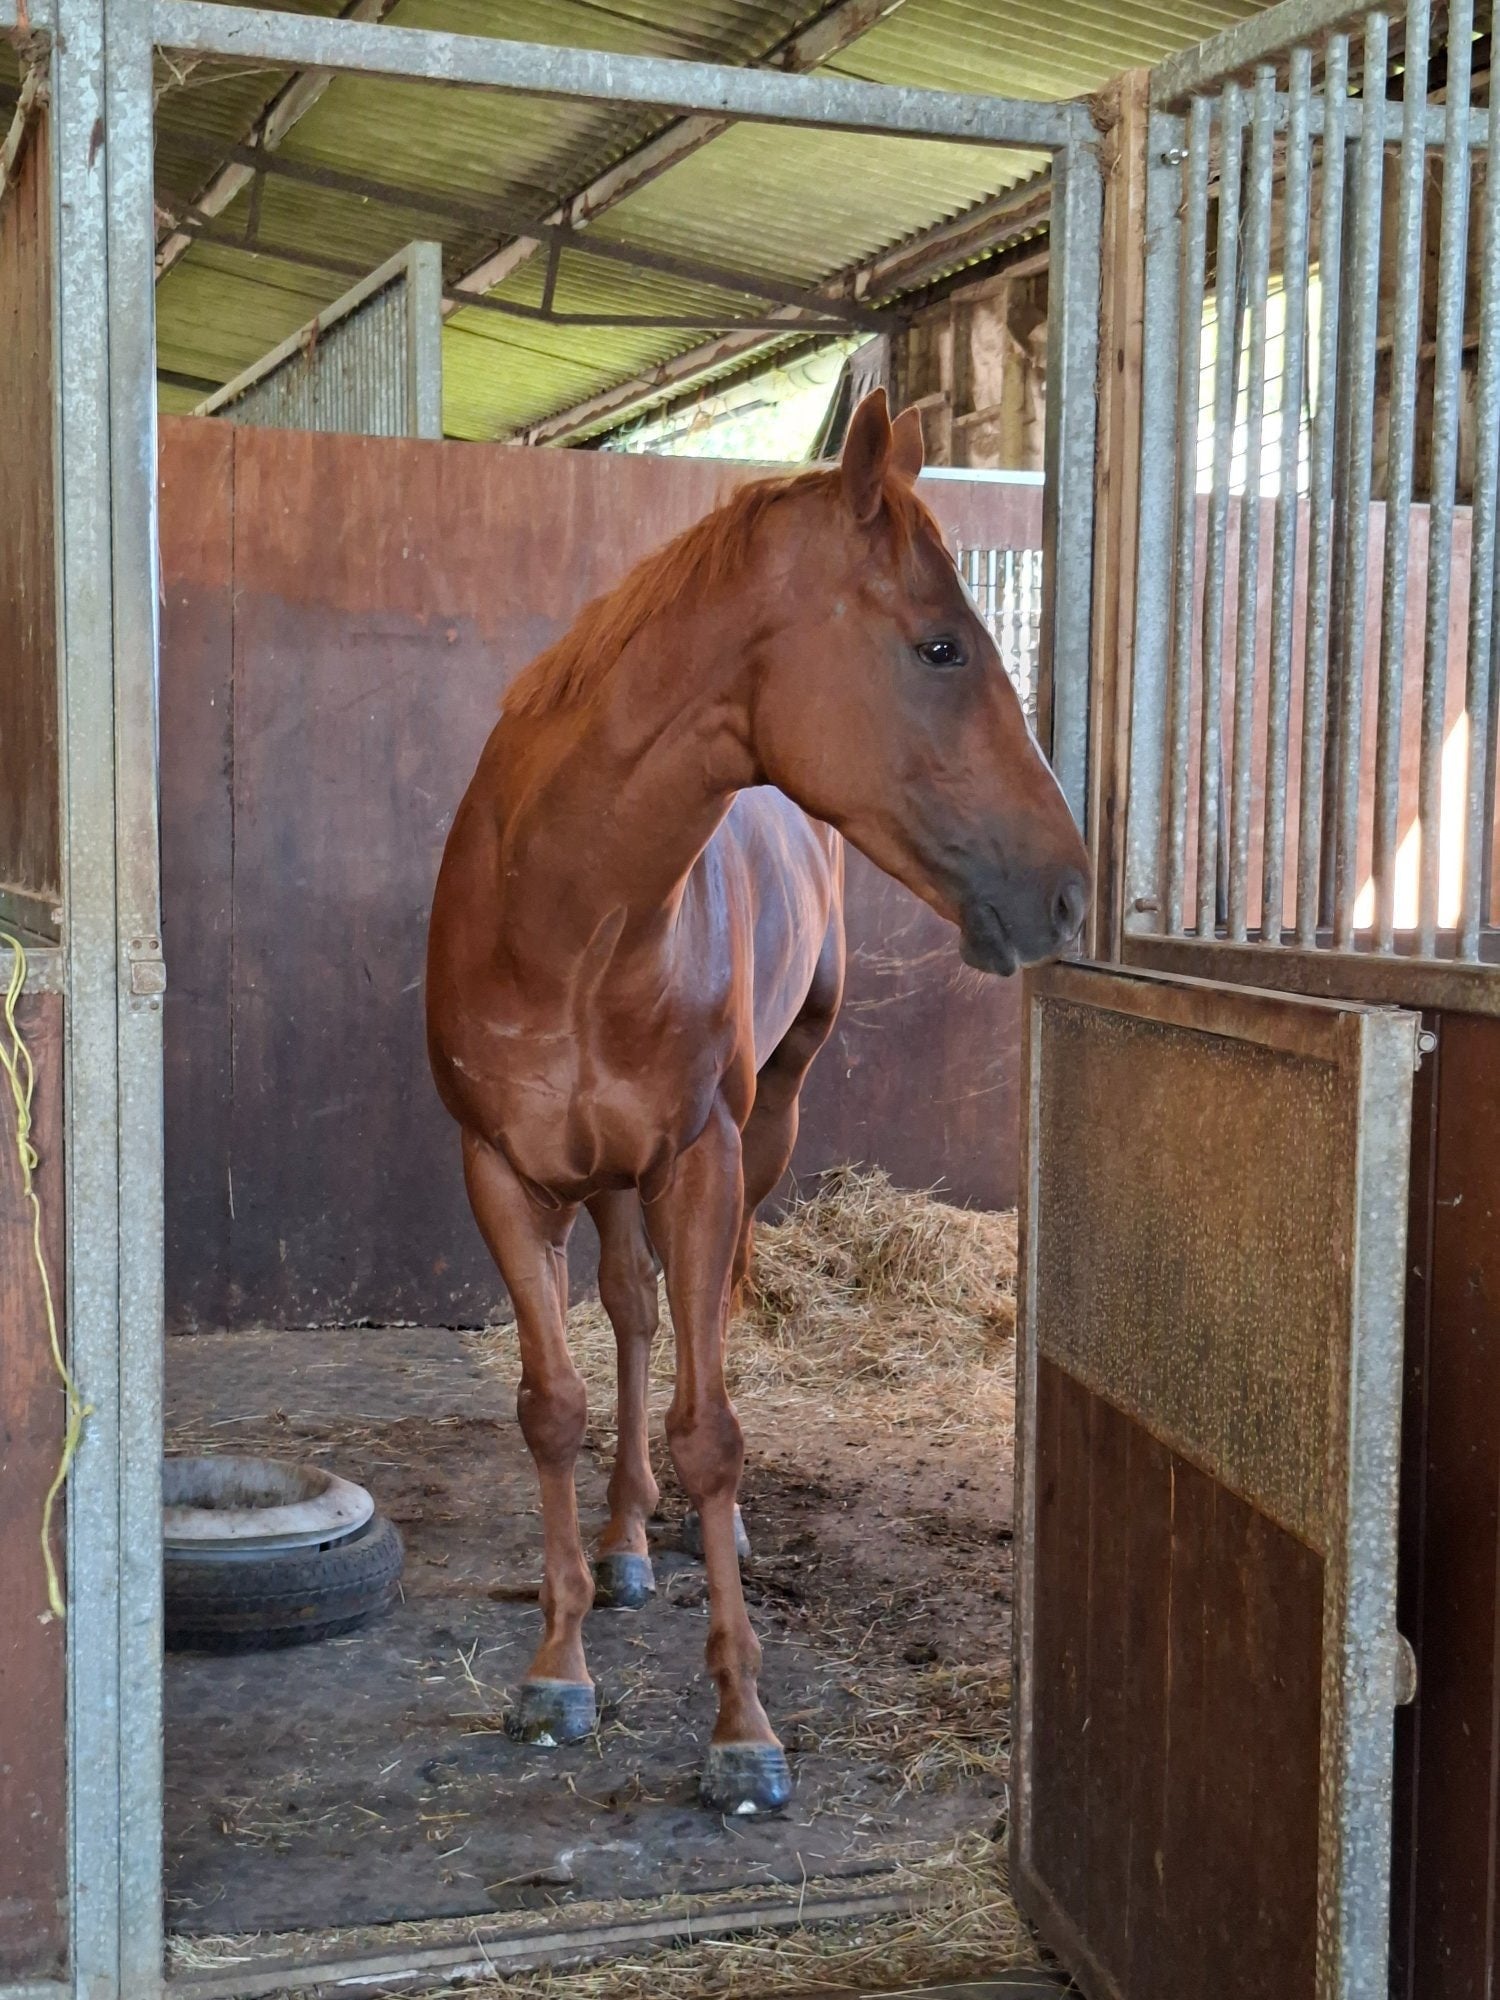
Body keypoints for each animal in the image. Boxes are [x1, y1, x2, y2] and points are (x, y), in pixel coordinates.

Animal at [426, 389, 1090, 1815]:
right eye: (940, 645)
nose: (1068, 890)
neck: (568, 916)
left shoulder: (700, 1159)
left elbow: (712, 1427)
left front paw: (742, 1723)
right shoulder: (501, 1170)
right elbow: (553, 1405)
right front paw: (558, 1667)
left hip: (756, 1134)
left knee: (693, 1317)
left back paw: (663, 1530)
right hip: (606, 1176)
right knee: (630, 1313)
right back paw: (623, 1540)